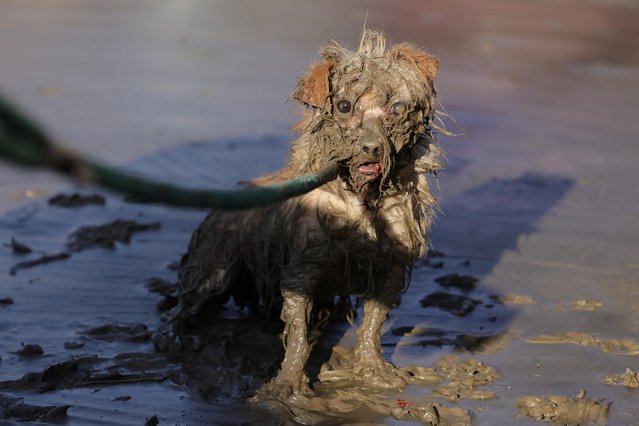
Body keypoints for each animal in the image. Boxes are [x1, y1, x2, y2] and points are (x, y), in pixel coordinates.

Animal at [158, 30, 442, 400]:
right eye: (345, 106)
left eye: (396, 108)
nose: (371, 148)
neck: (362, 199)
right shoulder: (302, 267)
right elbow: (297, 333)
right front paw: (289, 383)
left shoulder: (392, 263)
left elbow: (374, 321)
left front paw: (373, 369)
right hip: (215, 264)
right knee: (186, 301)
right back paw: (170, 336)